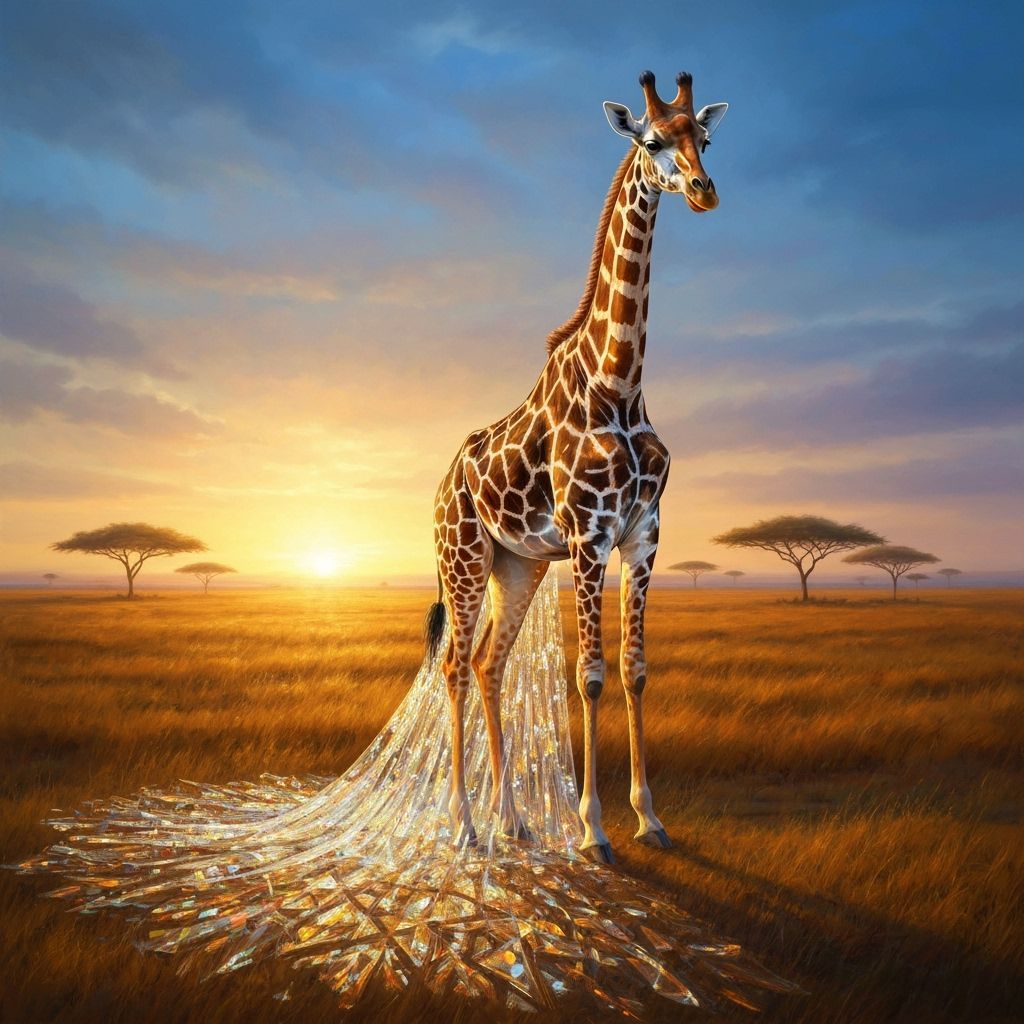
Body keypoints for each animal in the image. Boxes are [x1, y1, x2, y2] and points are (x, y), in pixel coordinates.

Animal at [425, 70, 729, 864]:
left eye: (704, 136)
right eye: (650, 141)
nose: (703, 189)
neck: (618, 382)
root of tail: (437, 490)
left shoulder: (644, 536)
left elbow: (634, 669)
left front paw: (650, 818)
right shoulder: (589, 538)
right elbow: (589, 676)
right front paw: (594, 830)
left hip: (519, 564)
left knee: (488, 663)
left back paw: (512, 819)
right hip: (463, 557)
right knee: (454, 665)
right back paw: (465, 824)